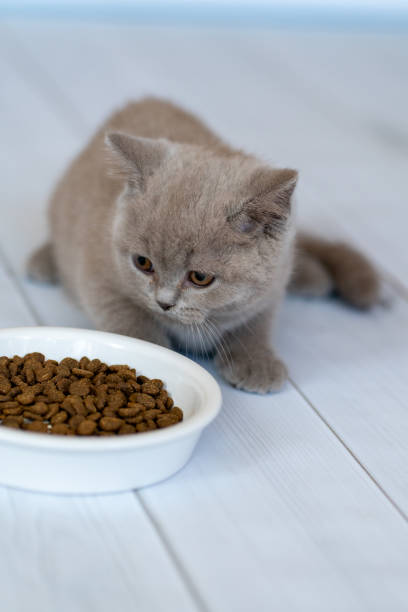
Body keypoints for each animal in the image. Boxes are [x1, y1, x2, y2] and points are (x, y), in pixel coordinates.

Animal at [27, 97, 379, 393]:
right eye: (143, 263)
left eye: (200, 278)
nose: (164, 302)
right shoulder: (97, 271)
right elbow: (129, 319)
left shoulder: (271, 283)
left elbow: (256, 321)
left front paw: (256, 361)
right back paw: (42, 261)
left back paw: (313, 277)